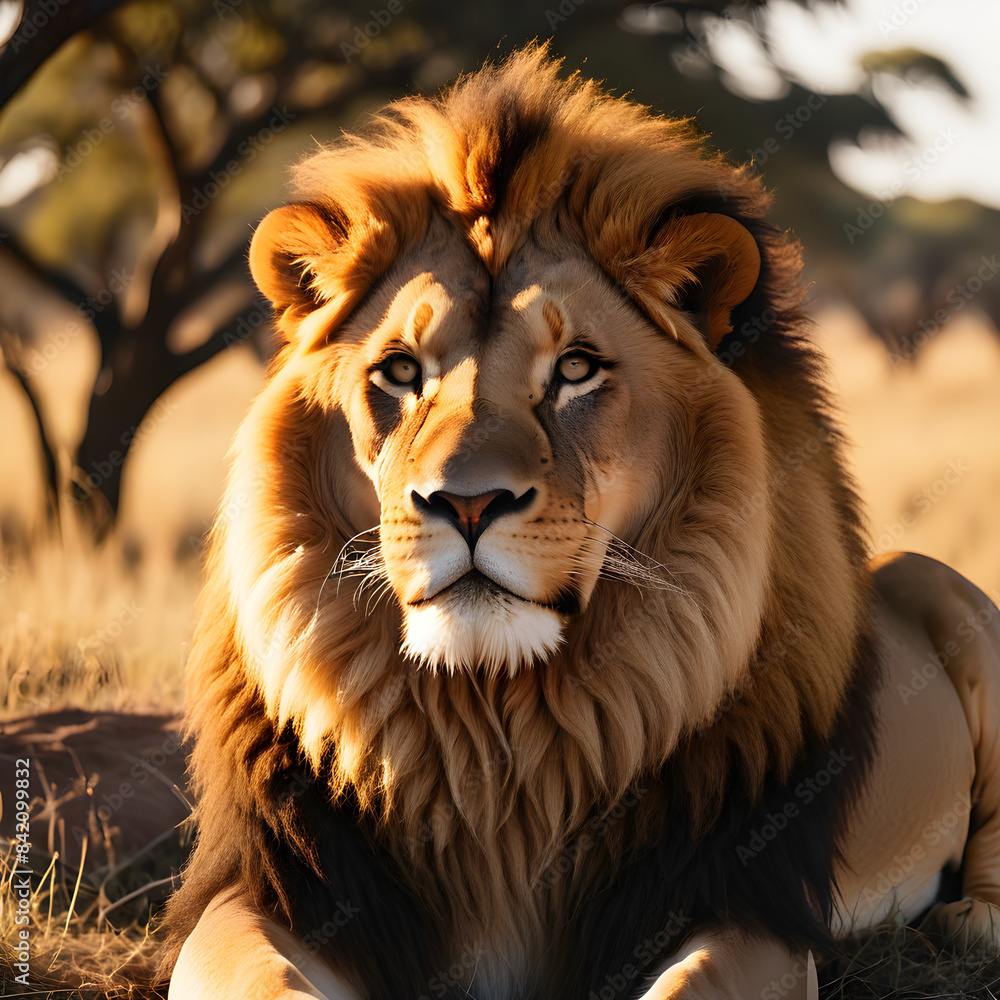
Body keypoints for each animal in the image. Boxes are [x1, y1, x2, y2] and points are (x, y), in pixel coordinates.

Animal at [161, 46, 1000, 1000]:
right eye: (401, 372)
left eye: (575, 369)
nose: (467, 502)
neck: (495, 726)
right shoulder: (277, 884)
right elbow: (261, 977)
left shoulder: (738, 899)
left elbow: (689, 983)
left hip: (950, 591)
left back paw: (968, 919)